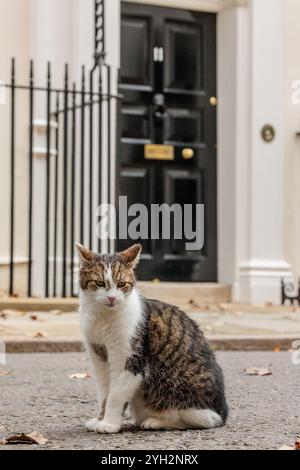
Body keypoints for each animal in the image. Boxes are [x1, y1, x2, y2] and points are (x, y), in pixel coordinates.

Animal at [77, 244, 227, 432]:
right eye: (99, 283)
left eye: (121, 284)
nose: (112, 298)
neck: (103, 317)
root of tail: (222, 413)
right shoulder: (99, 359)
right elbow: (104, 393)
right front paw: (99, 419)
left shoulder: (130, 362)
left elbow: (115, 395)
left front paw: (109, 423)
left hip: (177, 390)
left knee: (197, 419)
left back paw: (155, 422)